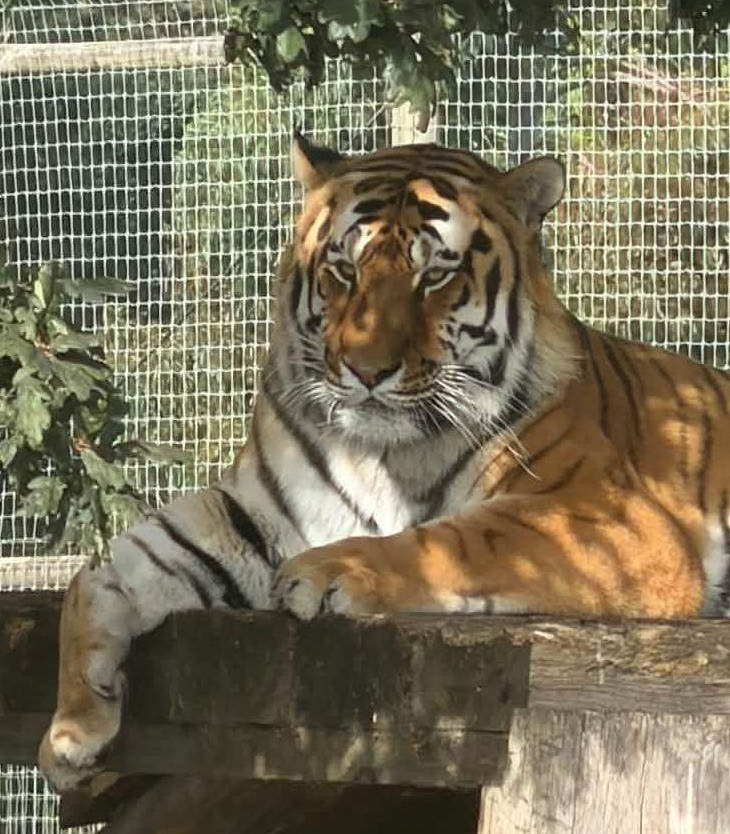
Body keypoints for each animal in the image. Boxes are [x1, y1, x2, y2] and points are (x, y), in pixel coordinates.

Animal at [39, 134, 730, 792]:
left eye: (436, 277)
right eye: (344, 270)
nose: (367, 370)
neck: (378, 453)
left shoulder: (617, 520)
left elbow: (456, 539)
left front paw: (326, 571)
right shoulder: (249, 512)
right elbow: (104, 571)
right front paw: (73, 729)